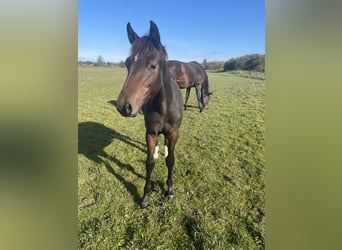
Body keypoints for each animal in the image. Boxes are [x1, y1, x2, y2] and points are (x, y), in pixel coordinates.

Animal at [116, 20, 183, 208]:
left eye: (153, 65)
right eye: (127, 63)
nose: (124, 106)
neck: (164, 107)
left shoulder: (173, 133)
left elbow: (171, 160)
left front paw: (169, 190)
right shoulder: (151, 133)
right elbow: (149, 162)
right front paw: (145, 196)